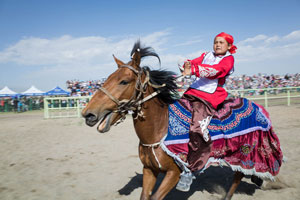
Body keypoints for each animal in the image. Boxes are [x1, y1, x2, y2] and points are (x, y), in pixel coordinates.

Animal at [81, 41, 282, 200]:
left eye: (124, 81)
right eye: (107, 78)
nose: (88, 113)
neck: (160, 129)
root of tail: (259, 108)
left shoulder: (174, 173)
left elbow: (155, 196)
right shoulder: (149, 170)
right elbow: (145, 196)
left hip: (245, 153)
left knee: (239, 175)